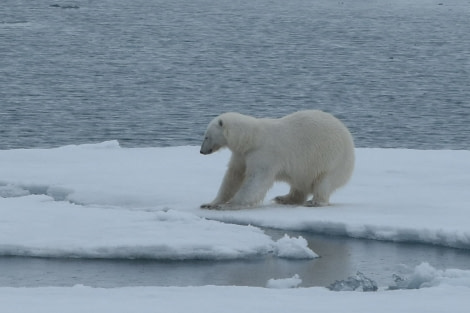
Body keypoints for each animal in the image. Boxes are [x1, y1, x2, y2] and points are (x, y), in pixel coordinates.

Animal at [199, 109, 356, 210]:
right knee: (299, 185)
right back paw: (283, 198)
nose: (202, 151)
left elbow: (255, 180)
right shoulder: (242, 155)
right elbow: (233, 176)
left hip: (332, 159)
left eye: (206, 136)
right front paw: (210, 203)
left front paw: (229, 204)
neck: (252, 138)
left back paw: (315, 202)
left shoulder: (265, 154)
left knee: (324, 181)